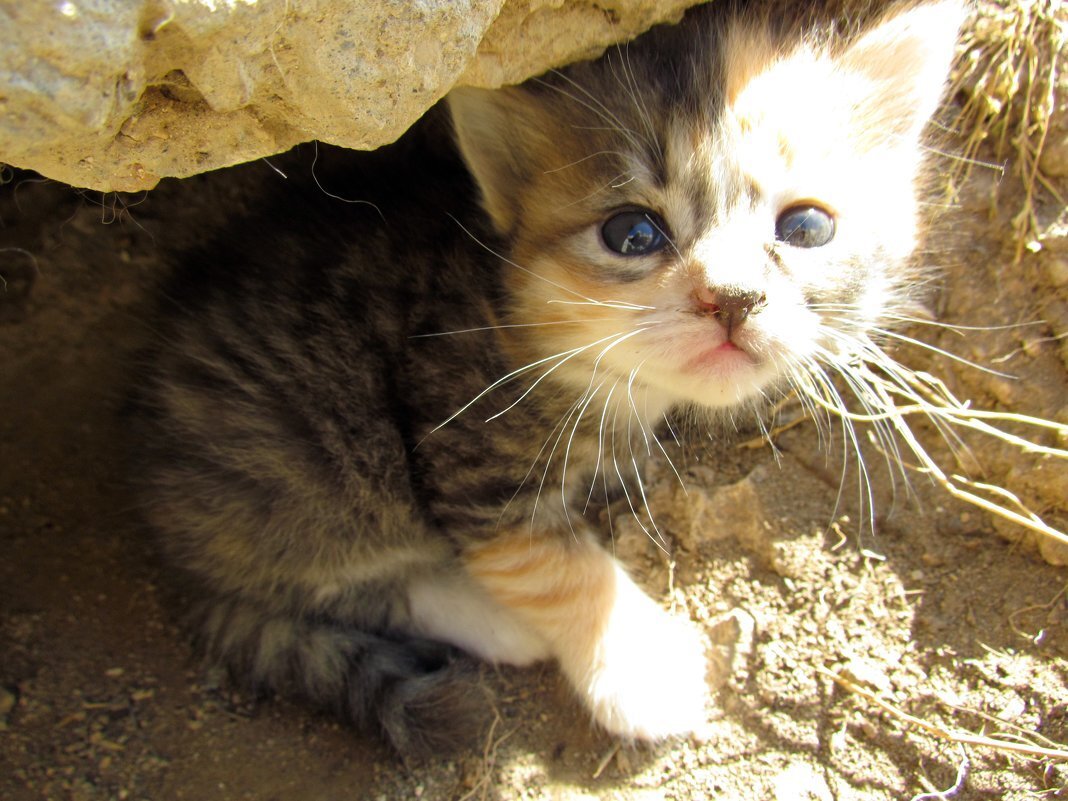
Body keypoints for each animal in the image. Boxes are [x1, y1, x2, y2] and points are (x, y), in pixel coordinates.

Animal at [137, 0, 965, 756]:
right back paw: (500, 623)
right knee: (345, 579)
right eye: (632, 233)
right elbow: (554, 563)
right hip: (310, 477)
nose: (731, 298)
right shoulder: (465, 445)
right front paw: (642, 669)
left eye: (807, 227)